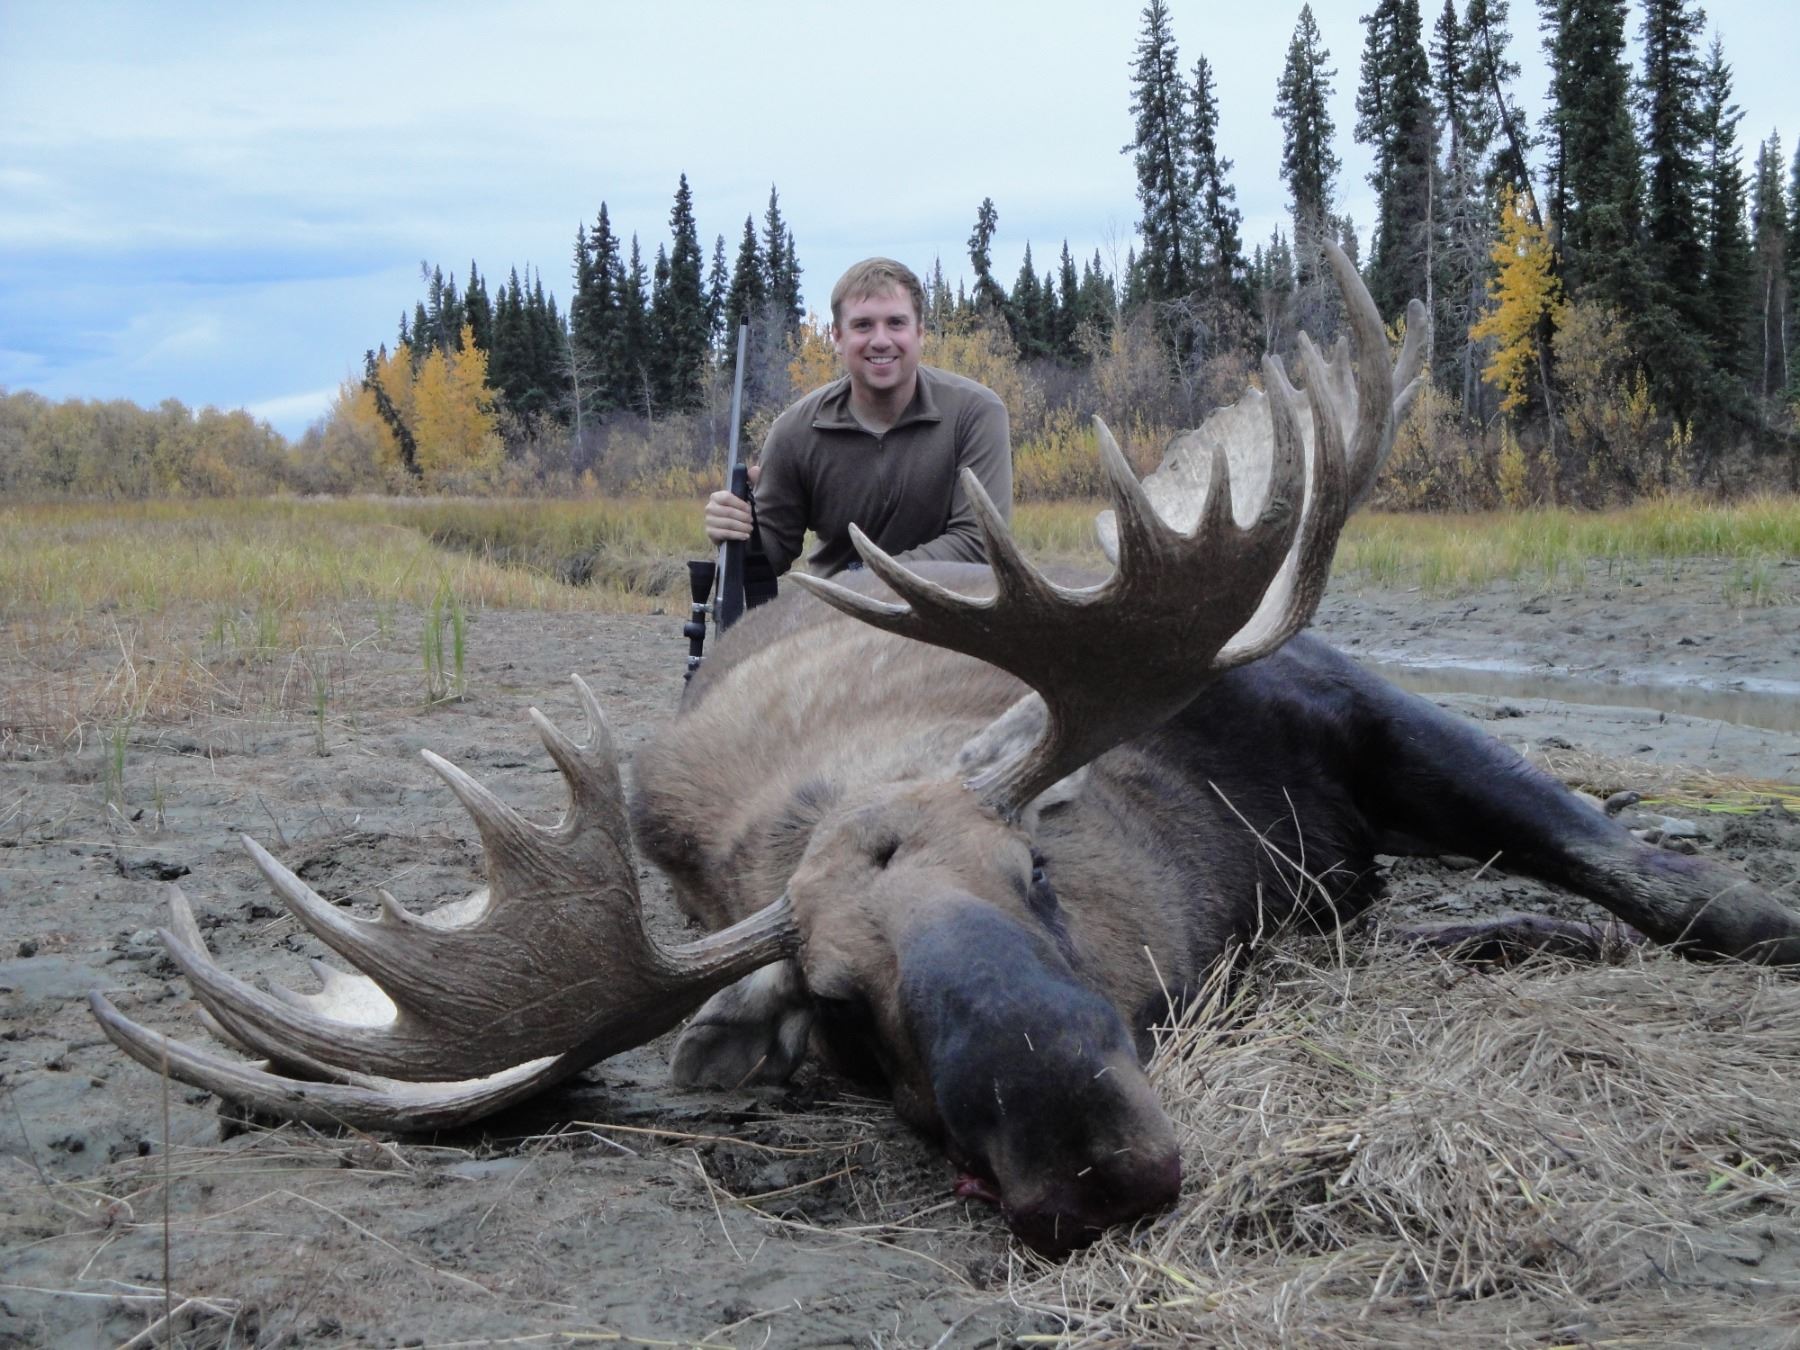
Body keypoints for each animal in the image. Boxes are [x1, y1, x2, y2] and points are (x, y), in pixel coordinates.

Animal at [89, 245, 1800, 1258]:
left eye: (1033, 865)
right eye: (838, 1011)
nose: (1087, 1152)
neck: (1208, 870)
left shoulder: (1336, 696)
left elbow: (1639, 866)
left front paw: (1747, 916)